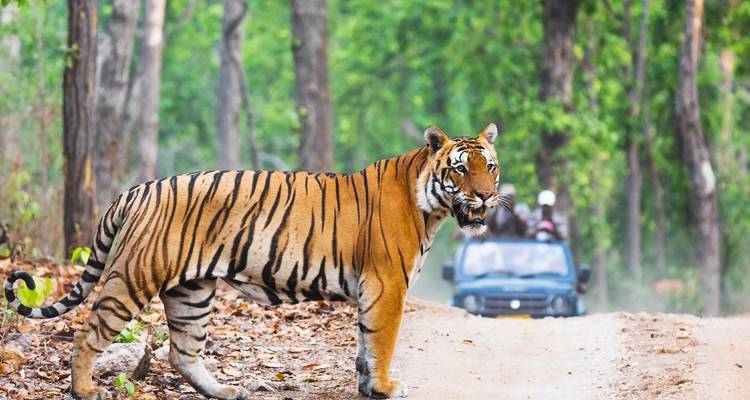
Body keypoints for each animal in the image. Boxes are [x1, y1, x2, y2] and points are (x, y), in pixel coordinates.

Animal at [4, 123, 501, 399]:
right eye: (460, 168)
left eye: (490, 167)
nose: (485, 196)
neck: (430, 207)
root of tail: (136, 189)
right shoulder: (387, 285)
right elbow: (381, 343)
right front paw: (383, 389)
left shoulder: (375, 289)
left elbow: (364, 345)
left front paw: (366, 388)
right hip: (134, 277)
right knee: (88, 333)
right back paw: (84, 390)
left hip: (191, 293)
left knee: (183, 352)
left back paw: (226, 391)